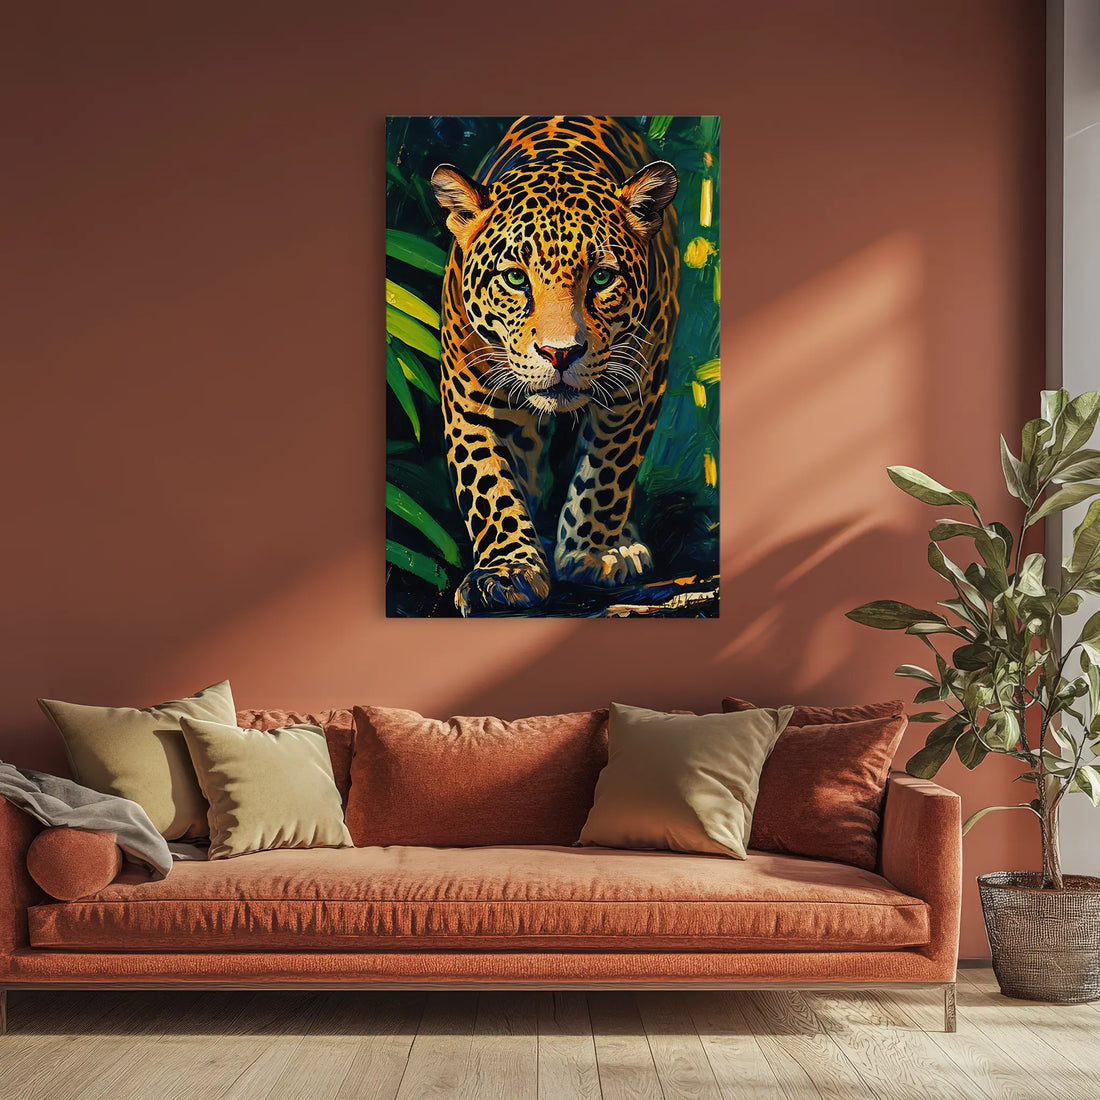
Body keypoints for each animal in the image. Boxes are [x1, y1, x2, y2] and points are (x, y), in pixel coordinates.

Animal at [430, 115, 680, 616]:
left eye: (601, 278)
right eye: (514, 278)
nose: (560, 353)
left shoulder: (637, 386)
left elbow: (607, 472)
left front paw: (590, 554)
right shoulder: (468, 396)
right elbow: (488, 482)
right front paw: (507, 571)